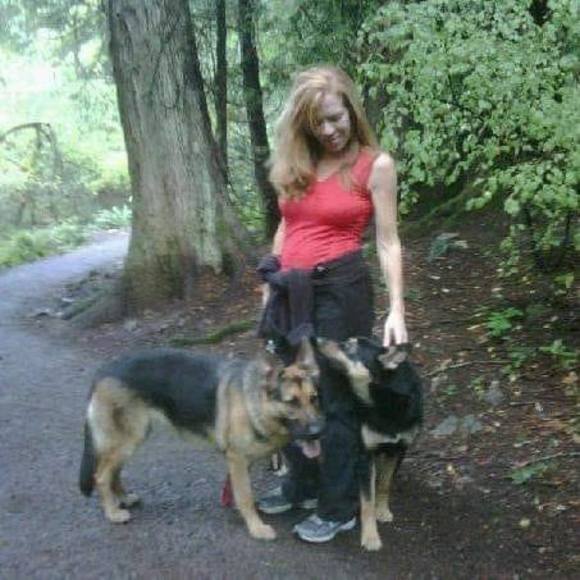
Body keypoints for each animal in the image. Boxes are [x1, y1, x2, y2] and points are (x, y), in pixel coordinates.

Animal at [79, 338, 322, 541]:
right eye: (292, 402)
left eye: (313, 399)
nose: (319, 431)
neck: (252, 402)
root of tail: (102, 372)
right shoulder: (237, 459)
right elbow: (245, 496)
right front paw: (256, 528)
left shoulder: (242, 462)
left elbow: (240, 492)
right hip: (127, 440)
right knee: (101, 475)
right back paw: (113, 512)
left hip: (131, 439)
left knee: (114, 471)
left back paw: (124, 498)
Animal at [316, 336, 423, 551]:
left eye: (350, 347)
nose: (317, 338)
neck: (385, 402)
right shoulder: (365, 455)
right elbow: (367, 502)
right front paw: (370, 537)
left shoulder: (398, 450)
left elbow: (384, 484)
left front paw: (382, 510)